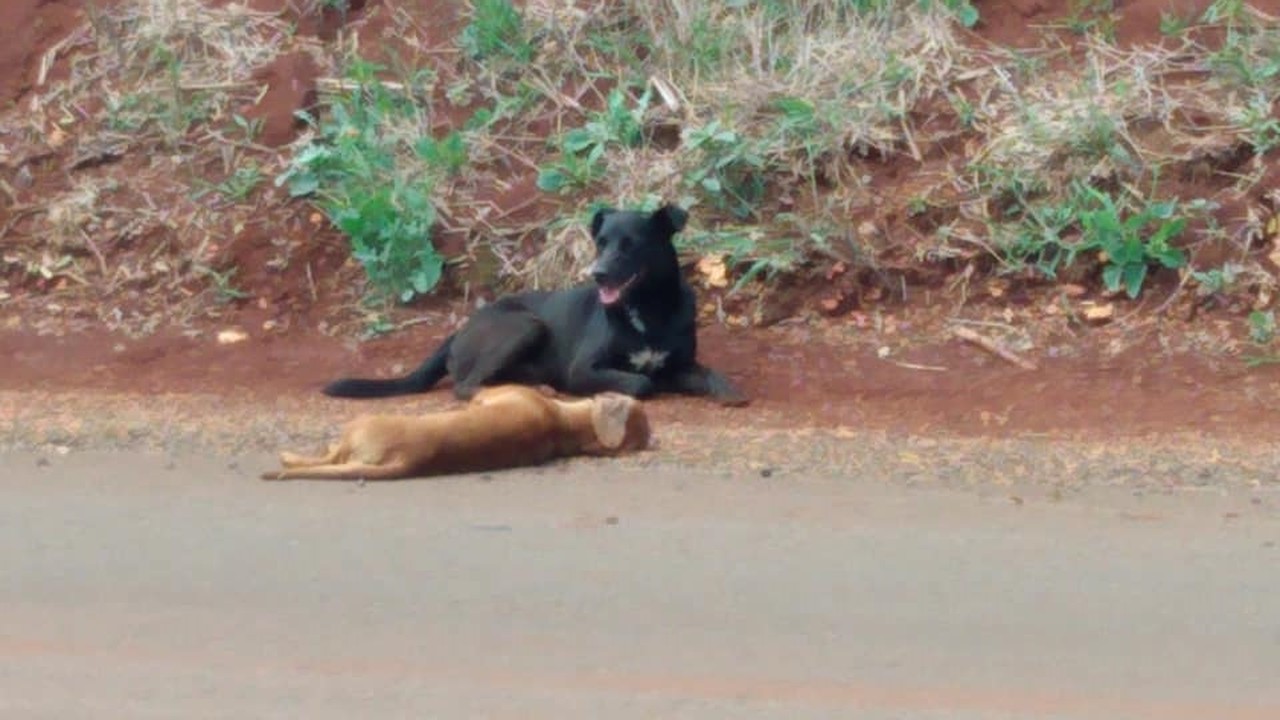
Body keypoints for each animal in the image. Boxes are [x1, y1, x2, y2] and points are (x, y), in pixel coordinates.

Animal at [322, 203, 747, 404]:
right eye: (601, 243)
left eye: (631, 245)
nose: (597, 273)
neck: (648, 310)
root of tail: (459, 331)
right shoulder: (583, 370)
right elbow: (642, 381)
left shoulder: (681, 363)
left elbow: (707, 373)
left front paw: (729, 390)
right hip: (527, 325)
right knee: (466, 386)